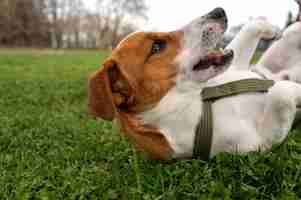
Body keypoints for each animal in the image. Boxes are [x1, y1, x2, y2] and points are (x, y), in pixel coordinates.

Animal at [88, 7, 301, 160]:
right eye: (157, 46)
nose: (218, 10)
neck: (198, 96)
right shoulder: (260, 142)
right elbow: (280, 93)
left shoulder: (235, 66)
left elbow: (251, 27)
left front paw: (272, 28)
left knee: (292, 32)